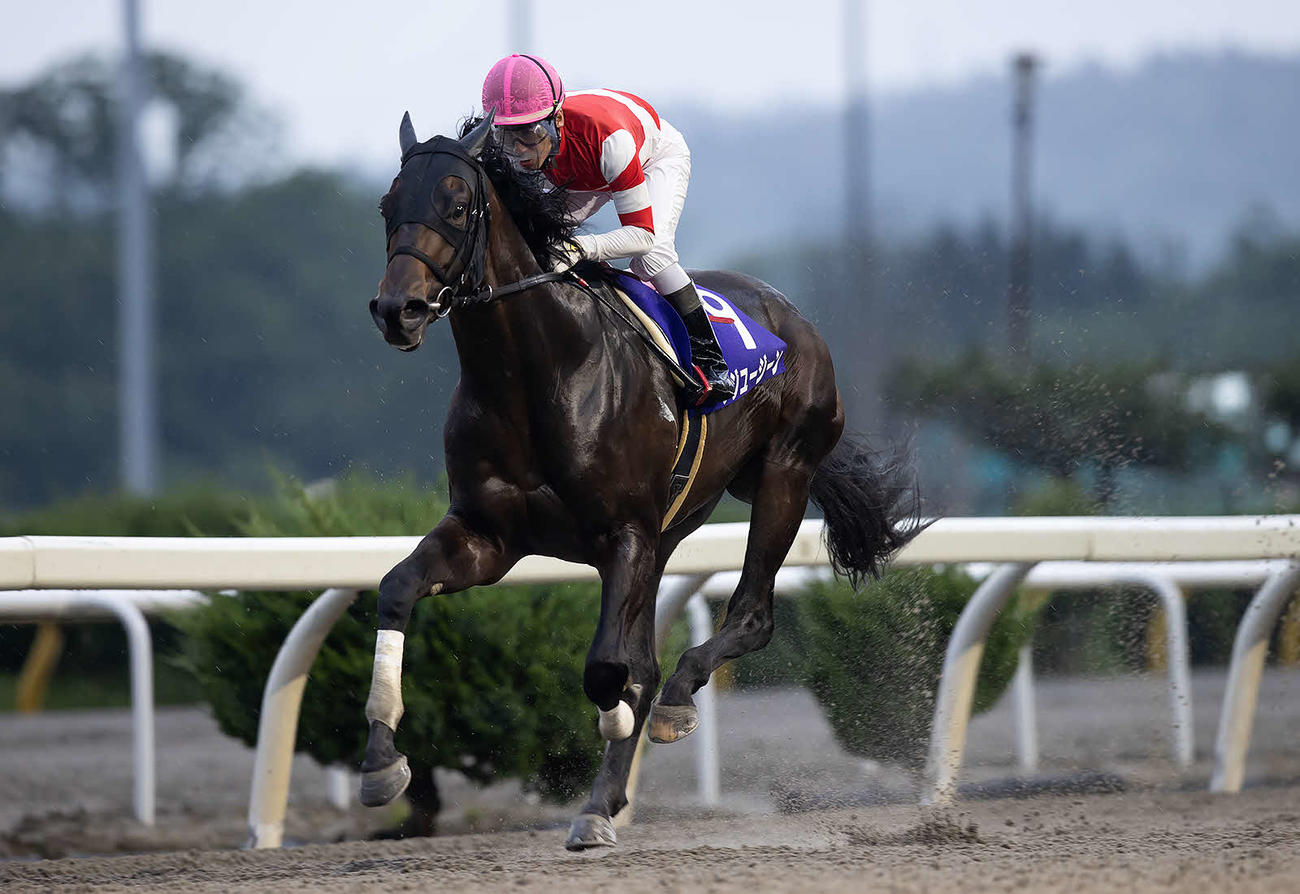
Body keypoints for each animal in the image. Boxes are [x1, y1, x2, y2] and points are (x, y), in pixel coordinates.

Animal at [361, 112, 920, 850]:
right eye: (388, 206)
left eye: (455, 205)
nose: (397, 309)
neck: (537, 375)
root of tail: (792, 316)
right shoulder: (488, 536)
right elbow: (397, 589)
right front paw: (381, 760)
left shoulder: (623, 532)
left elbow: (607, 667)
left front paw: (617, 732)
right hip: (678, 523)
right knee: (654, 657)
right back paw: (604, 796)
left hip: (781, 477)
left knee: (748, 616)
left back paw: (670, 712)